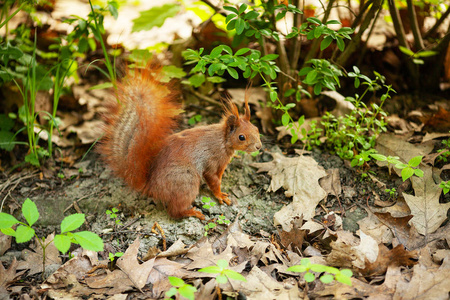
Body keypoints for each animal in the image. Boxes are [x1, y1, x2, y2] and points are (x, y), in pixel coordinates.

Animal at [96, 65, 262, 220]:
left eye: (257, 128)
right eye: (241, 137)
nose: (259, 146)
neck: (223, 140)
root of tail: (151, 187)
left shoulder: (221, 165)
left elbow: (218, 178)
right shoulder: (212, 160)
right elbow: (213, 180)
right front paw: (220, 195)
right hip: (186, 182)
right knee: (175, 211)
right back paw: (192, 212)